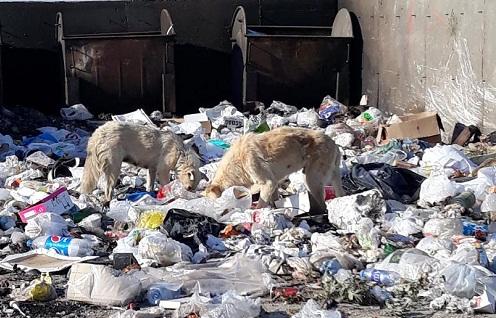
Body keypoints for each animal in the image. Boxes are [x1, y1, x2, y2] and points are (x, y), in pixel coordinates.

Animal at [205, 125, 344, 212]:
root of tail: (334, 144)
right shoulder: (274, 183)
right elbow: (275, 198)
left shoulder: (268, 182)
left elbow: (261, 203)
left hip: (311, 179)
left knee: (323, 205)